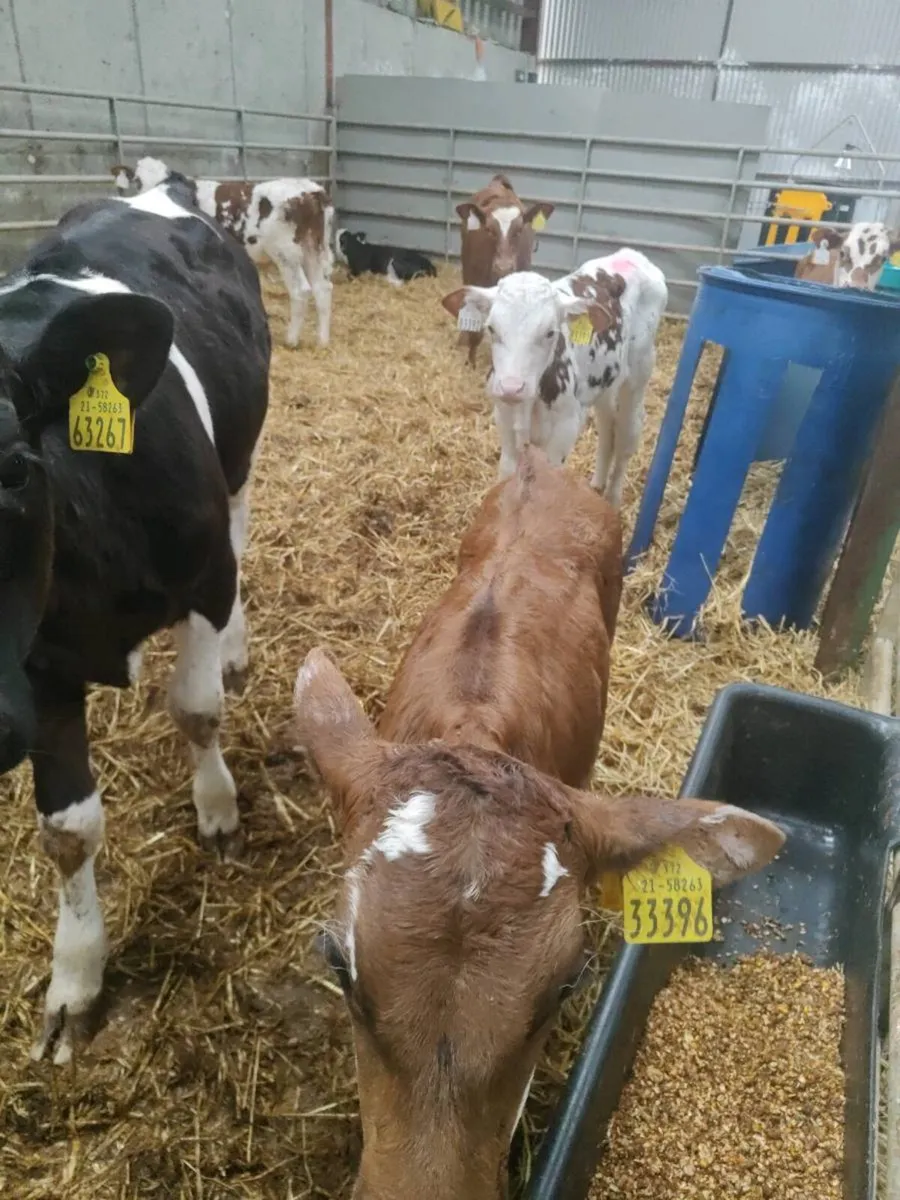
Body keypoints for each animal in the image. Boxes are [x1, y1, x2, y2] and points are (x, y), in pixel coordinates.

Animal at [0, 179, 270, 1065]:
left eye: (15, 469)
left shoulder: (206, 576)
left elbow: (196, 710)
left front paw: (218, 810)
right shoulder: (35, 670)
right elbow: (67, 830)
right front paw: (75, 977)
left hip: (241, 460)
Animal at [112, 156, 333, 349]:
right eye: (137, 181)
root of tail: (312, 190)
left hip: (286, 252)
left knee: (301, 290)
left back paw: (291, 340)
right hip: (314, 249)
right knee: (323, 288)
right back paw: (322, 341)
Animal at [442, 249, 667, 509]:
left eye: (550, 332)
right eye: (491, 328)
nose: (511, 388)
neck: (530, 406)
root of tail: (631, 253)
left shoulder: (564, 430)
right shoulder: (505, 423)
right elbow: (507, 474)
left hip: (638, 374)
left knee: (626, 434)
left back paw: (612, 499)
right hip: (605, 382)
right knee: (607, 426)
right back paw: (597, 485)